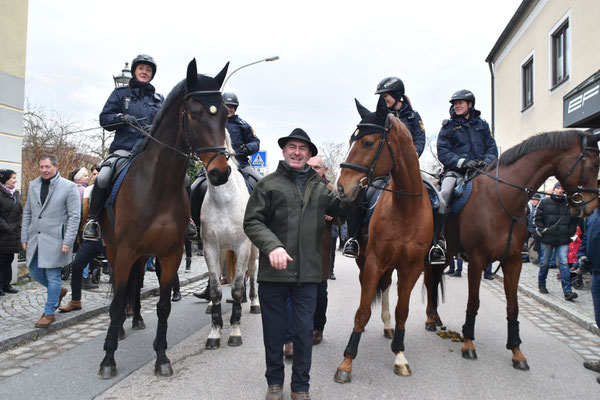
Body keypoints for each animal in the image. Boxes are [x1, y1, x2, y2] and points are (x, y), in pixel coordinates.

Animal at [97, 58, 231, 378]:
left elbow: (163, 306)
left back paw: (135, 320)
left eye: (223, 115)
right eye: (194, 114)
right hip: (113, 247)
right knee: (120, 289)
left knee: (135, 282)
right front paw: (108, 359)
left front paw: (161, 356)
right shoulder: (125, 251)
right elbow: (116, 304)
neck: (157, 185)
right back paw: (120, 330)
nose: (220, 173)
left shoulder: (170, 254)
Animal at [203, 132, 258, 350]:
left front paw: (235, 331)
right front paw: (214, 332)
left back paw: (254, 303)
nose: (217, 174)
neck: (224, 201)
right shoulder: (210, 247)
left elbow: (236, 290)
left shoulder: (243, 246)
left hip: (253, 251)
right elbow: (215, 289)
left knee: (252, 274)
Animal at [336, 99, 434, 382]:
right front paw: (347, 361)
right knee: (371, 291)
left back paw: (389, 326)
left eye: (368, 143)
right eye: (352, 140)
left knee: (388, 286)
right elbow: (362, 310)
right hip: (365, 261)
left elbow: (403, 311)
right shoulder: (373, 262)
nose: (341, 188)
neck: (405, 209)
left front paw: (400, 355)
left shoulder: (412, 268)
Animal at [422, 130, 600, 370]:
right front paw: (468, 343)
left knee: (434, 281)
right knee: (430, 281)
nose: (590, 207)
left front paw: (516, 351)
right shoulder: (477, 261)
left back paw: (434, 317)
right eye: (594, 164)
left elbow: (513, 307)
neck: (501, 199)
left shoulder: (513, 261)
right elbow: (473, 302)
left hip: (448, 255)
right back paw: (430, 319)